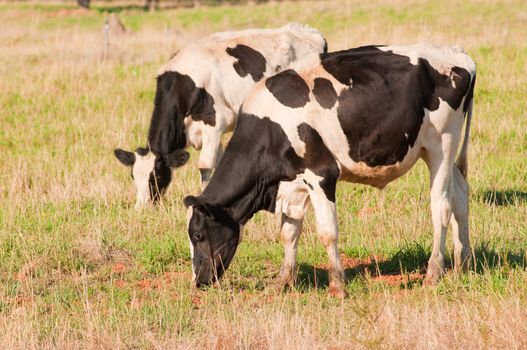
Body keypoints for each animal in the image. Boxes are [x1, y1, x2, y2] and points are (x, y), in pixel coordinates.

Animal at [114, 23, 328, 208]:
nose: (142, 207)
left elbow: (205, 165)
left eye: (157, 176)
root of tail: (309, 31)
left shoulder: (215, 123)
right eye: (133, 176)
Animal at [186, 42, 478, 296]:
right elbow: (289, 232)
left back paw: (433, 272)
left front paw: (337, 285)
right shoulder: (292, 184)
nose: (199, 280)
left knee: (441, 205)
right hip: (437, 152)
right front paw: (281, 281)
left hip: (442, 144)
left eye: (198, 234)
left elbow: (327, 232)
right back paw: (462, 264)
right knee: (461, 196)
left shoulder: (321, 174)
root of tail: (459, 54)